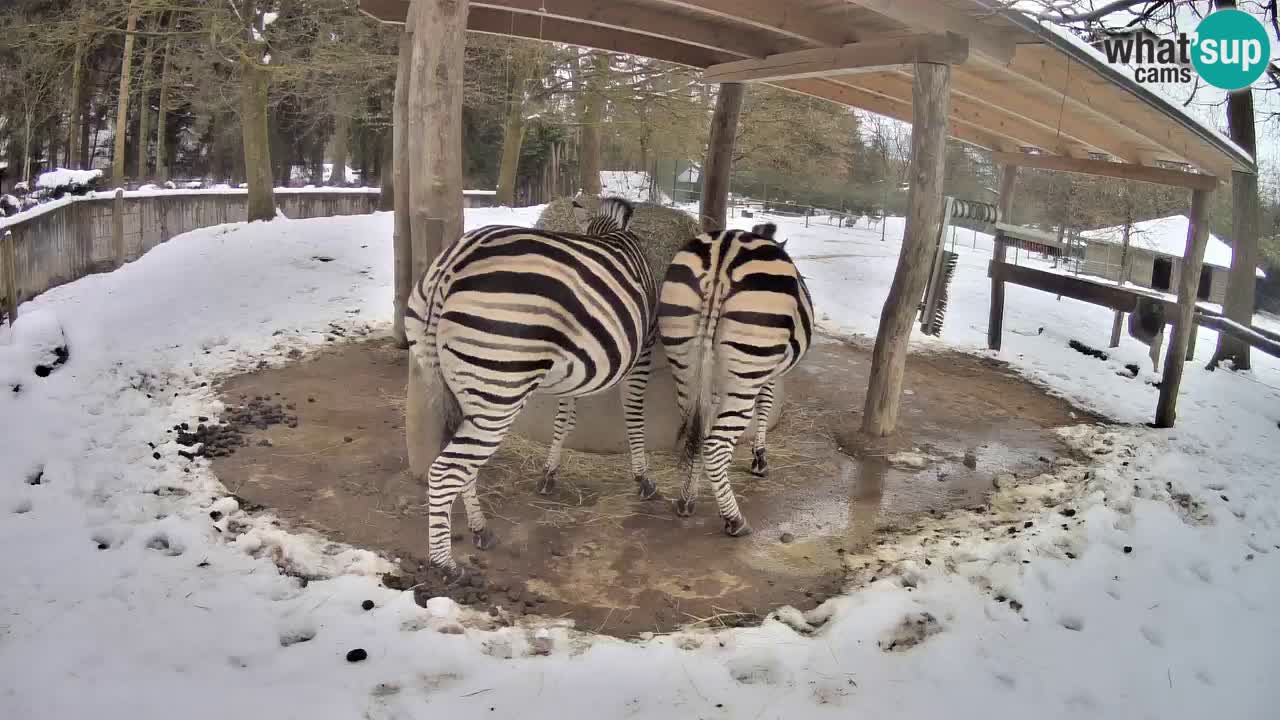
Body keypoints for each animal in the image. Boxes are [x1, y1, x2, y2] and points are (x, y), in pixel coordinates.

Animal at [404, 197, 658, 578]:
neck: (612, 233)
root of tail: (452, 263)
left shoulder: (577, 365)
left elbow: (565, 418)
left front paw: (550, 474)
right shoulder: (643, 350)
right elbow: (634, 414)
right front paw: (642, 478)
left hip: (460, 384)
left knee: (461, 464)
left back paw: (480, 529)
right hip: (499, 395)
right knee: (446, 470)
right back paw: (444, 563)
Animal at [658, 221, 813, 536]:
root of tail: (723, 252)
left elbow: (705, 425)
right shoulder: (767, 374)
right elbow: (765, 406)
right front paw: (759, 459)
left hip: (685, 363)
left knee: (696, 434)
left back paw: (686, 501)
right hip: (745, 374)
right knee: (715, 446)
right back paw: (735, 520)